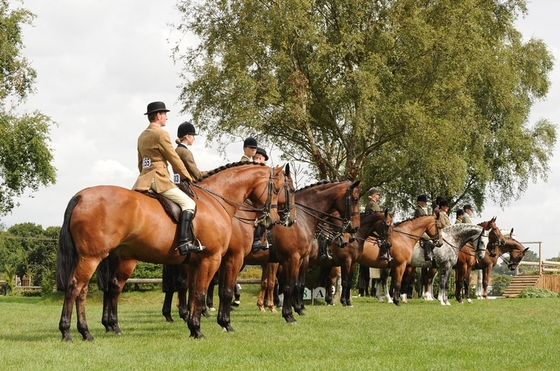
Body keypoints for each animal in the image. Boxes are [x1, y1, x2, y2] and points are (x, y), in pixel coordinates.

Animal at [56, 161, 288, 342]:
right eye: (277, 189)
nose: (275, 219)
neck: (215, 201)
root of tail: (81, 196)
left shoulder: (196, 262)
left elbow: (194, 292)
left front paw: (194, 325)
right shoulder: (215, 259)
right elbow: (207, 292)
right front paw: (203, 328)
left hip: (98, 257)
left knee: (88, 290)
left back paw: (92, 331)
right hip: (93, 257)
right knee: (76, 287)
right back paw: (69, 332)